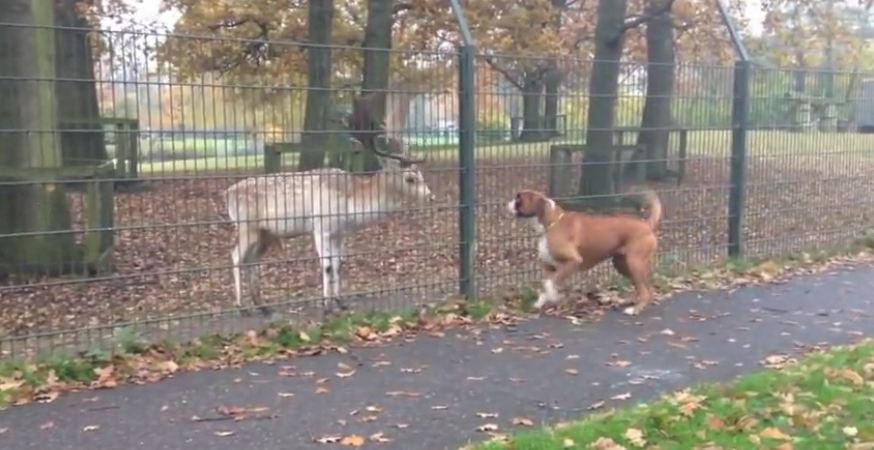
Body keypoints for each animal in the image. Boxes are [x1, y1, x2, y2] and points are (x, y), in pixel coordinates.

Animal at [504, 190, 660, 316]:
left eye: (518, 198)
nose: (508, 202)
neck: (551, 224)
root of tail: (646, 224)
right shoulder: (549, 267)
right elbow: (546, 284)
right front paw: (541, 302)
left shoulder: (572, 262)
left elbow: (549, 284)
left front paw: (554, 297)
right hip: (622, 265)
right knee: (646, 288)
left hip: (634, 263)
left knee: (645, 290)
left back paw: (635, 309)